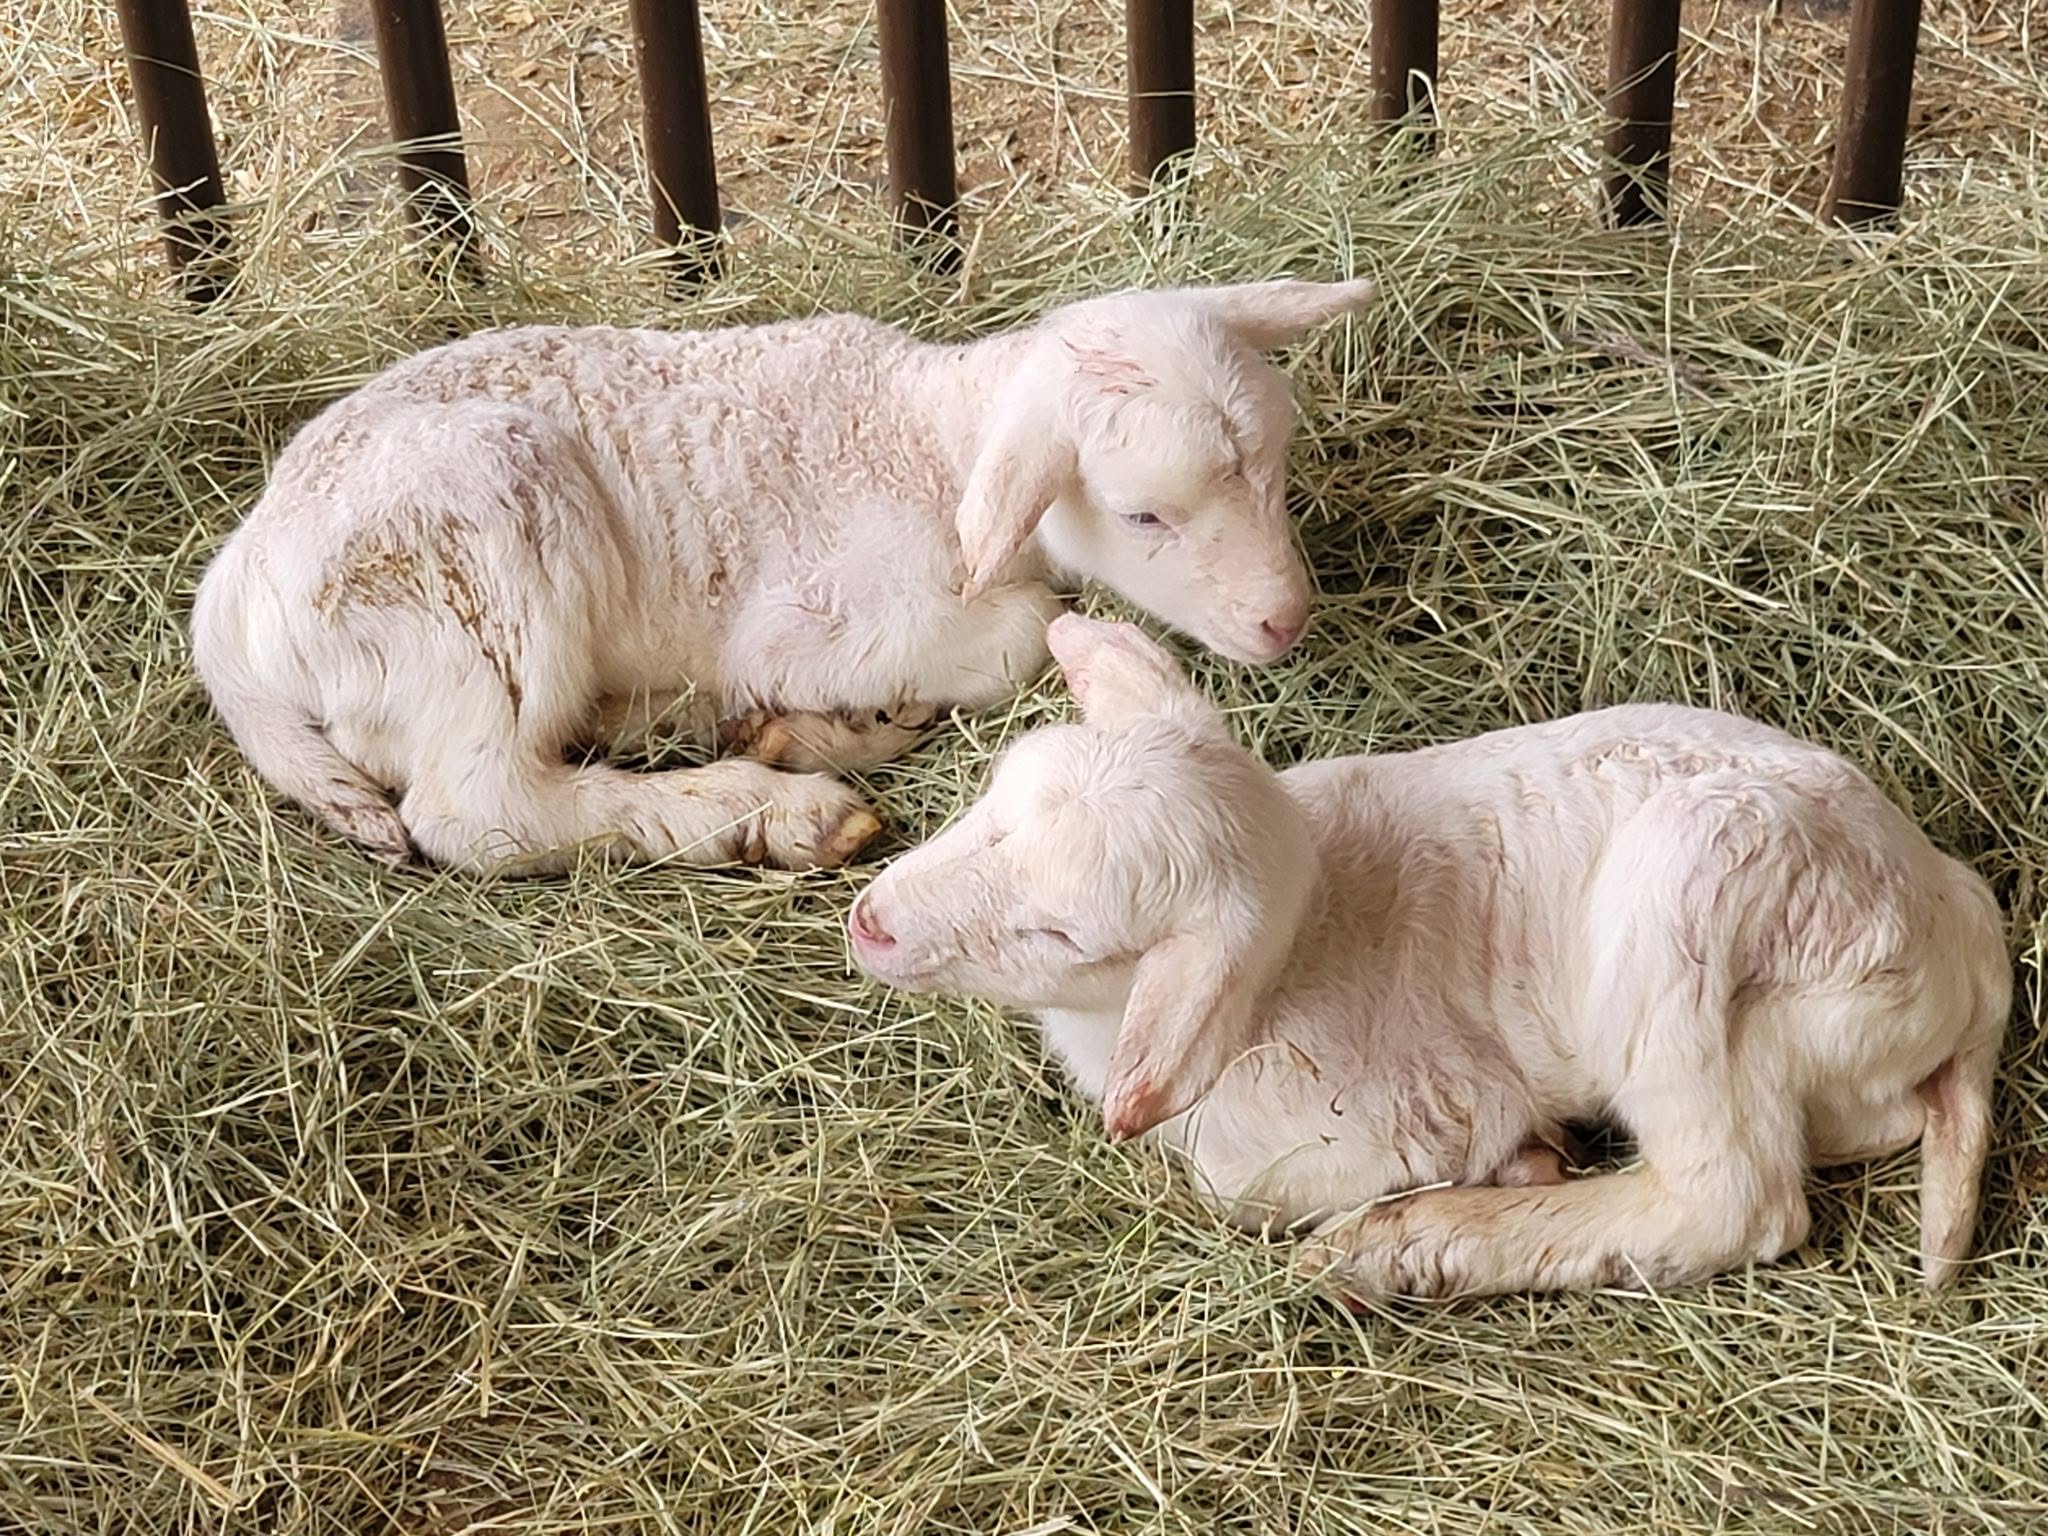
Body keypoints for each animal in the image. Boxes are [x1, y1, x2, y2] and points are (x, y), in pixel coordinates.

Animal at [189, 279, 1377, 875]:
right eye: (1142, 514)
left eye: (1277, 467)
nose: (1284, 621)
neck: (922, 437)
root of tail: (231, 591)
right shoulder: (818, 613)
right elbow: (1021, 630)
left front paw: (832, 719)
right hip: (474, 570)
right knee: (479, 810)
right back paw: (771, 812)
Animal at [848, 615, 2010, 1299]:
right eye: (993, 796)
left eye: (1064, 935)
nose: (869, 923)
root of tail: (1955, 912)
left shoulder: (1379, 1125)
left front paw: (1501, 1174)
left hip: (1691, 908)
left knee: (1734, 1201)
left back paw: (1410, 1245)